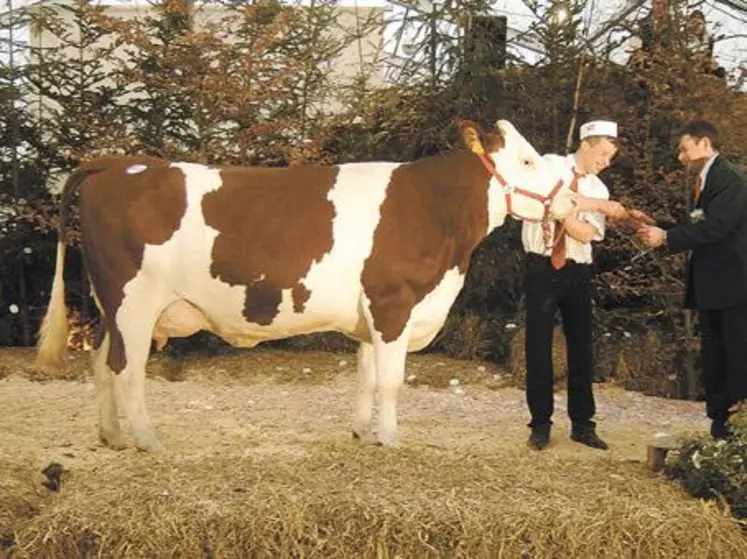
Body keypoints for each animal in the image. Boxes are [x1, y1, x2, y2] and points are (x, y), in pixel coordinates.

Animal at [36, 120, 580, 452]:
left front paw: (362, 432)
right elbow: (391, 380)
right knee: (127, 370)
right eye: (528, 161)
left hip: (109, 306)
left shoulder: (370, 312)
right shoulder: (393, 303)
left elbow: (365, 376)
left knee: (101, 363)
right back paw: (147, 440)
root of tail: (116, 163)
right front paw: (391, 438)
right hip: (135, 303)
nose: (572, 202)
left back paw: (111, 436)